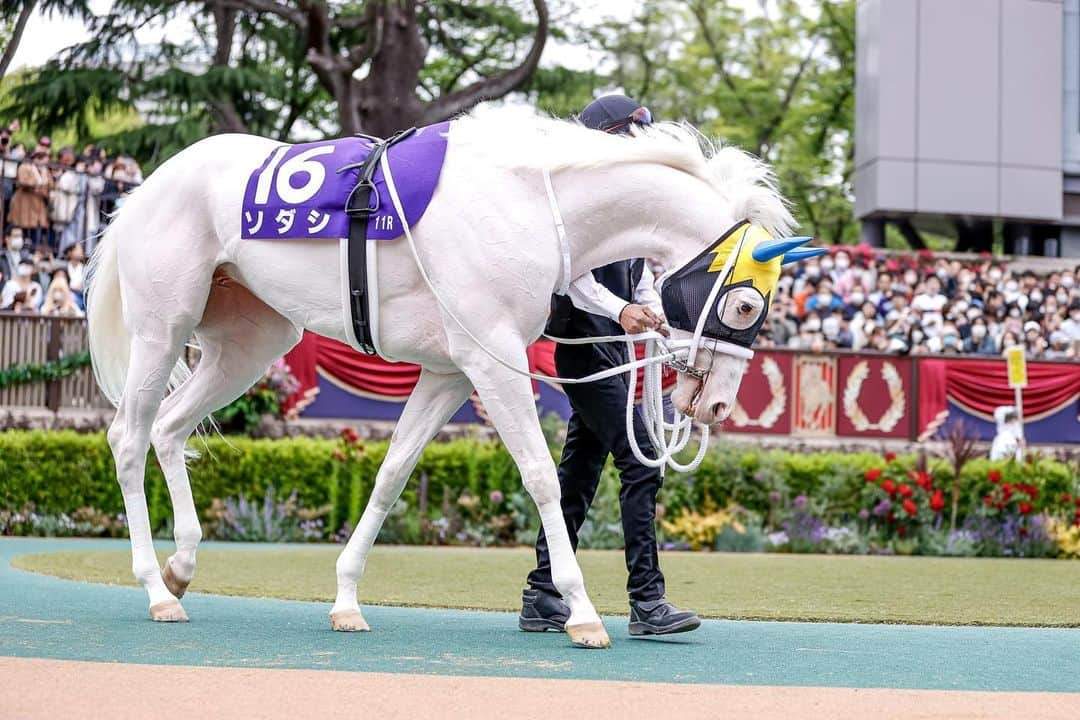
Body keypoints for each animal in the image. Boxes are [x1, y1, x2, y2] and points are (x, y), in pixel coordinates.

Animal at [88, 105, 807, 647]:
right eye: (748, 306)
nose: (716, 408)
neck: (528, 200)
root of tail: (146, 189)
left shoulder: (448, 373)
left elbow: (392, 474)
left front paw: (346, 598)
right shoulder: (493, 359)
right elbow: (542, 478)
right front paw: (580, 612)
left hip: (252, 340)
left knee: (171, 429)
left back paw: (182, 565)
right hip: (162, 327)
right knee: (128, 437)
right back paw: (154, 588)